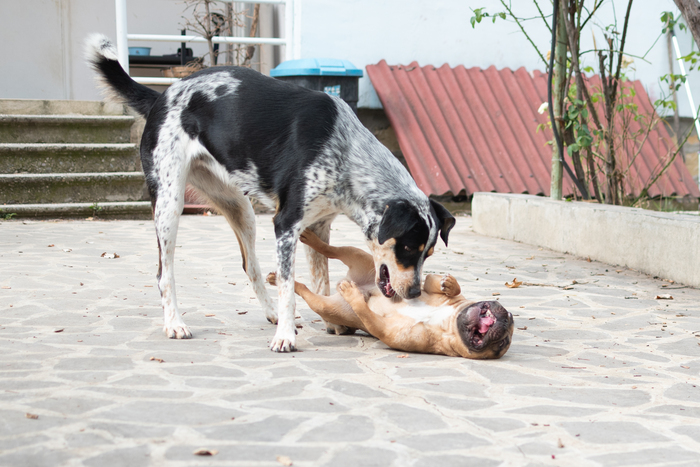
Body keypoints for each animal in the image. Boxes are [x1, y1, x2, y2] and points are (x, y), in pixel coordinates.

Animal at [85, 34, 455, 352]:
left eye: (429, 253)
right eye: (407, 248)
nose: (415, 292)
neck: (350, 155)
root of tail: (160, 97)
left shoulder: (318, 226)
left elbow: (320, 281)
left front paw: (330, 320)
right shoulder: (286, 225)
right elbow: (290, 288)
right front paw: (286, 338)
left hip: (240, 209)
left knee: (250, 266)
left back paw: (271, 314)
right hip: (169, 203)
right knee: (165, 273)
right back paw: (175, 323)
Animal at [267, 231, 514, 359]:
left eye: (503, 343)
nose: (507, 318)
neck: (448, 322)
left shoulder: (384, 330)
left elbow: (364, 311)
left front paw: (354, 295)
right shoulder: (426, 285)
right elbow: (440, 283)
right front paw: (449, 283)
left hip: (325, 306)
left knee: (305, 290)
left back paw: (279, 279)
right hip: (361, 256)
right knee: (332, 250)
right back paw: (309, 239)